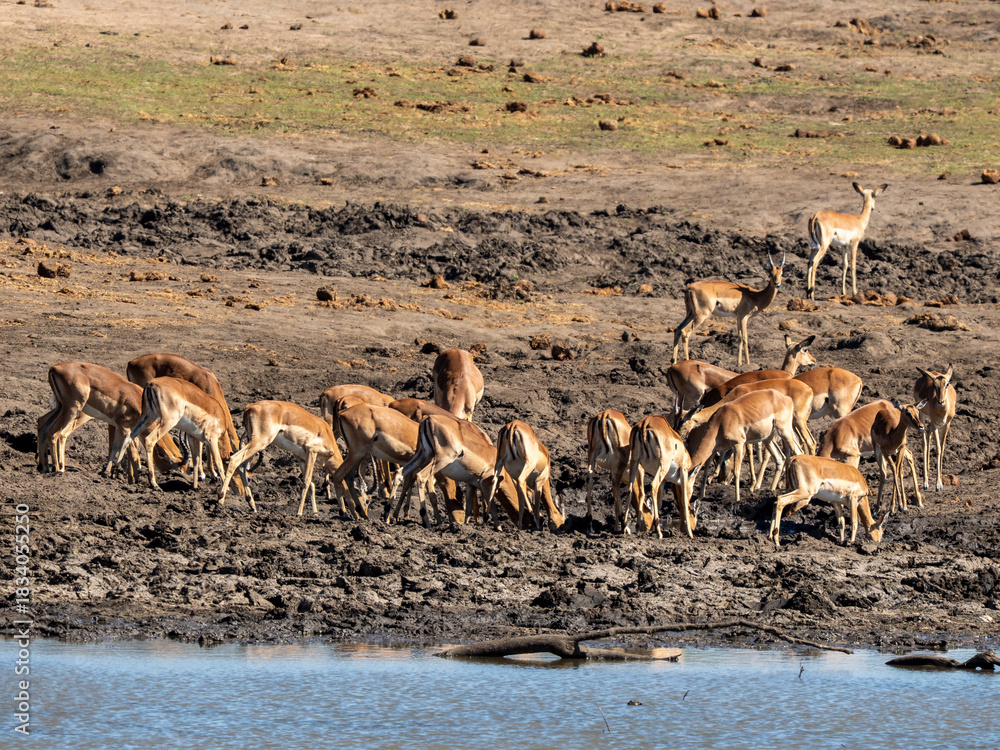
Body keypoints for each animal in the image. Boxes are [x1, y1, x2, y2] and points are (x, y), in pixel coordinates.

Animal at [37, 362, 182, 480]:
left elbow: (116, 447)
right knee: (56, 433)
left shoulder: (119, 426)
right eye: (170, 462)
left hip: (61, 407)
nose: (168, 474)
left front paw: (108, 472)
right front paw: (133, 478)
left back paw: (45, 468)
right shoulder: (124, 427)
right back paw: (59, 469)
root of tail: (54, 368)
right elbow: (132, 451)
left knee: (42, 423)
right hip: (72, 409)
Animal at [217, 400, 362, 517]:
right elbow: (307, 481)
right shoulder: (312, 452)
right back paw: (220, 500)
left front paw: (315, 513)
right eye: (362, 495)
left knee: (242, 466)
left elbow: (312, 484)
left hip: (254, 443)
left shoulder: (301, 458)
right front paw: (299, 512)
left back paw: (252, 505)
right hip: (260, 442)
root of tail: (250, 407)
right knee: (234, 459)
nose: (361, 515)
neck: (326, 435)